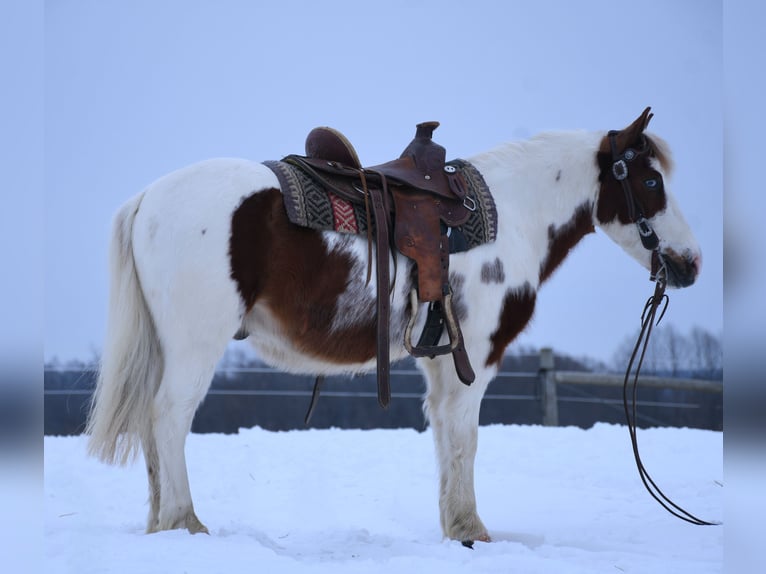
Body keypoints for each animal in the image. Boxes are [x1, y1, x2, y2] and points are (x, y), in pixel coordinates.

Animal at [85, 109, 704, 548]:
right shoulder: (475, 358)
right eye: (651, 181)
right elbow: (466, 438)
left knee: (152, 426)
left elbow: (446, 436)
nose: (691, 263)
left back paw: (160, 524)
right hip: (195, 345)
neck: (512, 215)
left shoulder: (442, 360)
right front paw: (472, 530)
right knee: (168, 417)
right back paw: (184, 522)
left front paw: (455, 528)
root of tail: (149, 199)